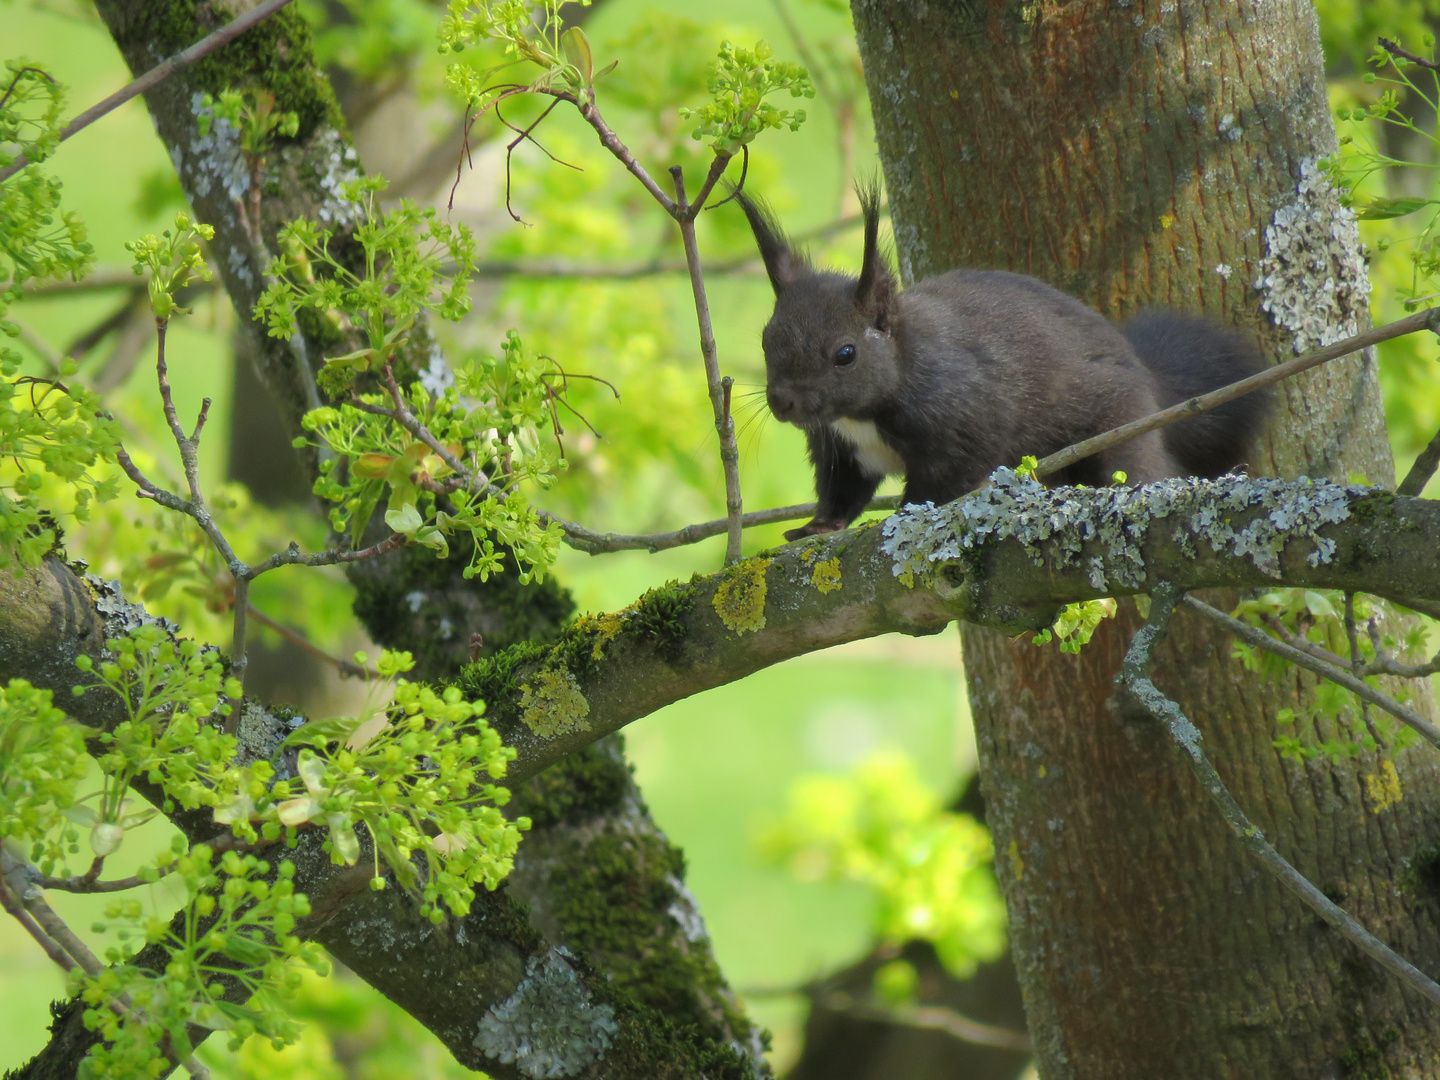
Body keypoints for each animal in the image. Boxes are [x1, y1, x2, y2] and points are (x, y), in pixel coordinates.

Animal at [737, 187, 1267, 544]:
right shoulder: (839, 448)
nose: (782, 401)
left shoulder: (966, 413)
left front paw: (903, 515)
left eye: (845, 354)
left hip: (1122, 426)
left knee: (1140, 467)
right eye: (766, 337)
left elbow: (944, 480)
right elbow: (841, 491)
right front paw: (818, 525)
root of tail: (1149, 378)